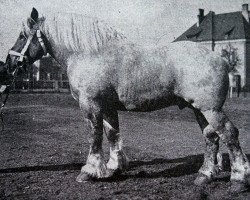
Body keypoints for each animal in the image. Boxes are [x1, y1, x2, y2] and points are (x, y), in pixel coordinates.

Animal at [5, 8, 250, 193]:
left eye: (21, 36)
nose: (9, 63)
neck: (88, 53)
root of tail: (219, 58)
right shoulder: (108, 107)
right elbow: (112, 134)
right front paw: (114, 167)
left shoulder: (91, 105)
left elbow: (94, 137)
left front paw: (89, 171)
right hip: (198, 109)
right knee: (211, 138)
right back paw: (204, 176)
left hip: (211, 109)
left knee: (229, 134)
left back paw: (238, 180)